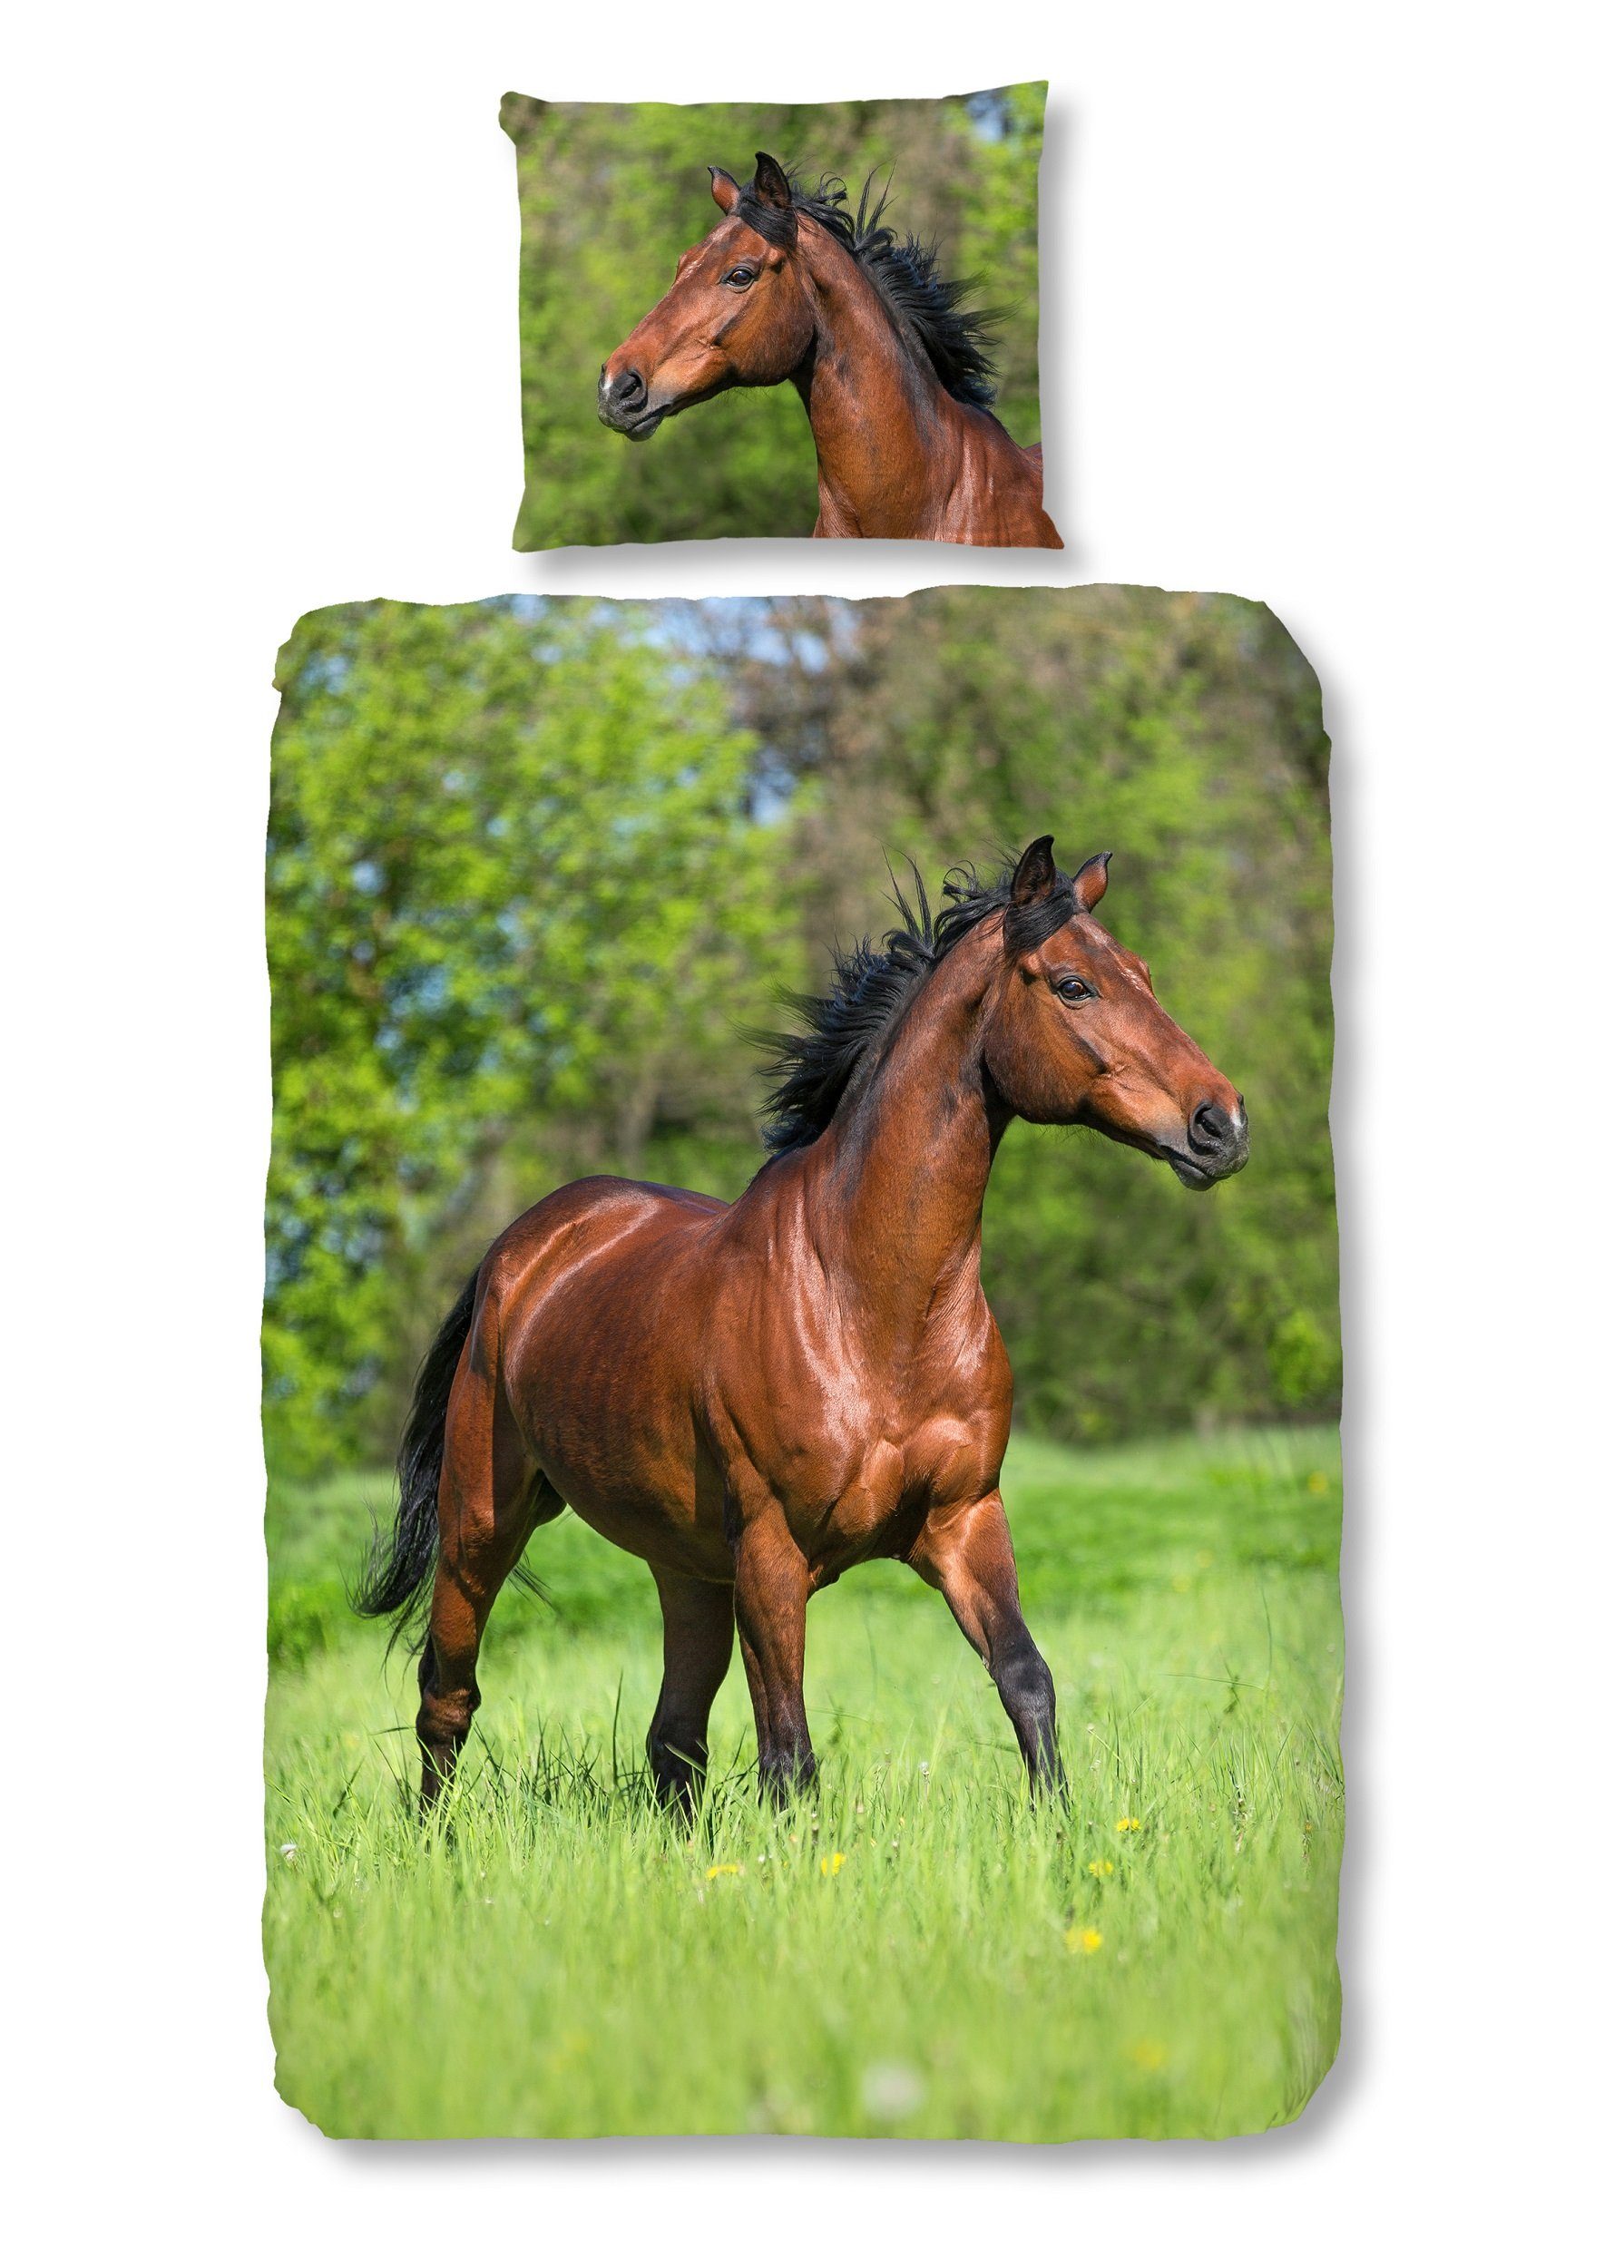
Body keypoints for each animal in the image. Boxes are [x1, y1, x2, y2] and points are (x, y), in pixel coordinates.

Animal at [356, 837, 1248, 1810]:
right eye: (1073, 985)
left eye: (1145, 974)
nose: (1221, 1125)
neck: (871, 1310)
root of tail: (521, 1249)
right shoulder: (773, 1552)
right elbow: (790, 1754)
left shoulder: (964, 1522)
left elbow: (1026, 1681)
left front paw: (1061, 1827)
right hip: (483, 1524)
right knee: (448, 1698)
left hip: (688, 1568)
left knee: (672, 1740)